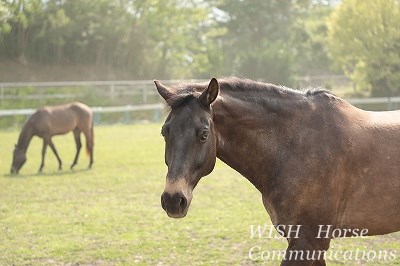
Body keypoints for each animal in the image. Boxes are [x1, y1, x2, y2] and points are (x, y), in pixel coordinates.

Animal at [155, 77, 400, 266]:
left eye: (204, 134)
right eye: (165, 132)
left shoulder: (309, 241)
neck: (295, 147)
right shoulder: (310, 243)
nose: (173, 199)